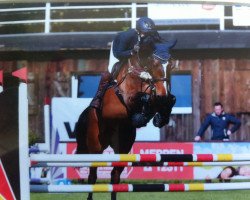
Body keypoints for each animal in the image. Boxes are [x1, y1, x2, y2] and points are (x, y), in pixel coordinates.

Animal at [75, 39, 175, 200]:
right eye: (154, 64)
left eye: (171, 64)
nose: (163, 94)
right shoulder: (116, 108)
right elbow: (142, 97)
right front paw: (142, 116)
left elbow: (168, 100)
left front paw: (160, 118)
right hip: (95, 146)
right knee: (92, 177)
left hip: (123, 147)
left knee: (115, 176)